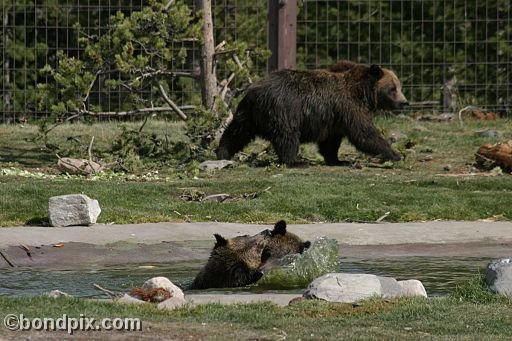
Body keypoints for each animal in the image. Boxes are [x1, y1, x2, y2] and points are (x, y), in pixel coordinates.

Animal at [216, 60, 408, 165]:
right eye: (392, 89)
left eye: (399, 87)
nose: (404, 102)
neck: (362, 93)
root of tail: (254, 91)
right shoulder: (349, 107)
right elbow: (364, 133)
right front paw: (395, 154)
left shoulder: (334, 118)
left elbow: (330, 142)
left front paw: (337, 160)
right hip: (283, 110)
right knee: (287, 136)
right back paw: (295, 161)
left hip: (246, 112)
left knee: (237, 131)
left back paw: (222, 152)